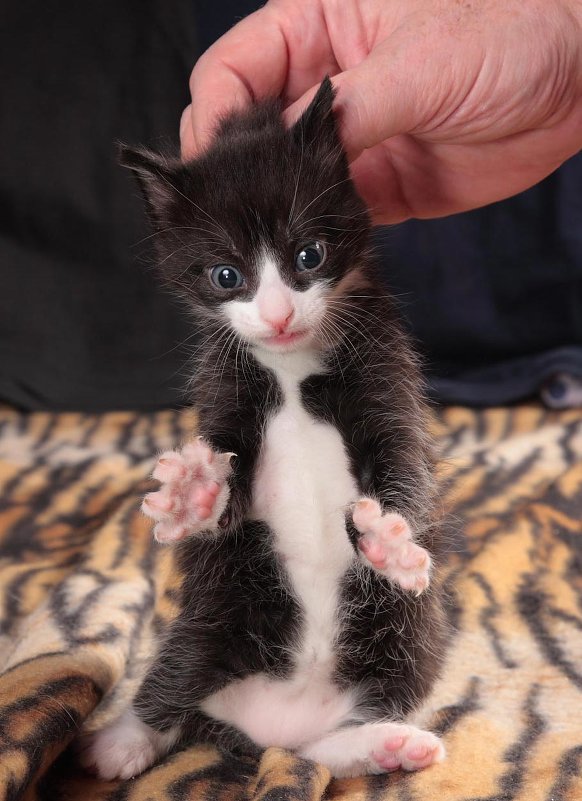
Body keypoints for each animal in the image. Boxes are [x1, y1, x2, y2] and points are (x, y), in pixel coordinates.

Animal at [80, 78, 450, 780]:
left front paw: (389, 542)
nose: (277, 315)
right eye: (226, 275)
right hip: (211, 612)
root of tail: (271, 726)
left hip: (406, 633)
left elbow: (404, 467)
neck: (291, 366)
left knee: (337, 731)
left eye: (309, 255)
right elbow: (226, 499)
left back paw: (382, 743)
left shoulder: (389, 378)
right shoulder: (223, 388)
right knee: (178, 679)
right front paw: (196, 496)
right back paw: (122, 741)